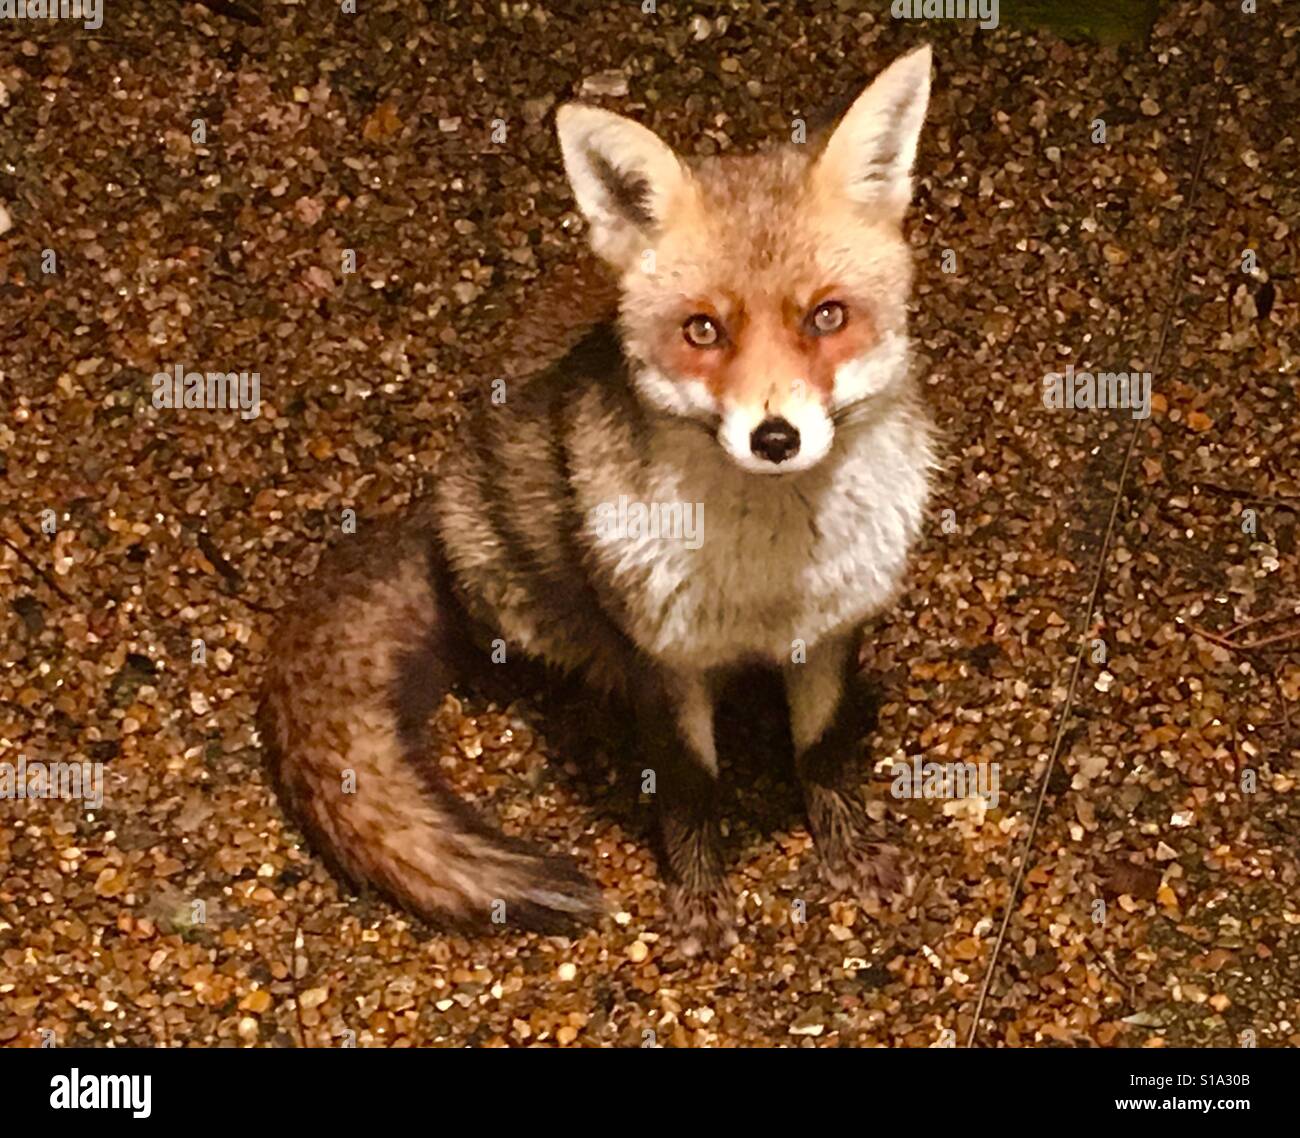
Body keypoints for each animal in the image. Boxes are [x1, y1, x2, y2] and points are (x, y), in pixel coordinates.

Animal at [261, 45, 937, 954]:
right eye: (702, 330)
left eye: (827, 317)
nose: (775, 439)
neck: (769, 586)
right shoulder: (664, 656)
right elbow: (689, 787)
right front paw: (699, 897)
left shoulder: (829, 633)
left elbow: (823, 755)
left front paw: (846, 849)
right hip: (512, 593)